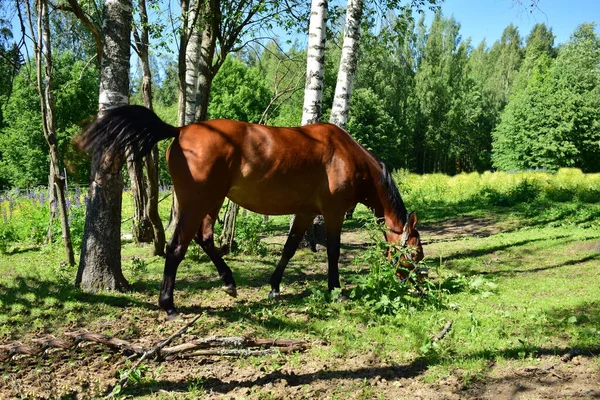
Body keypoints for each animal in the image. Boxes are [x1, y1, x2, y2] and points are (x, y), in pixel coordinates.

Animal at [79, 106, 424, 318]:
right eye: (414, 253)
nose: (419, 286)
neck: (345, 154)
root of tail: (180, 131)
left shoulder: (304, 213)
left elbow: (288, 248)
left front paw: (274, 287)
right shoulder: (333, 212)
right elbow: (333, 251)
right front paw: (336, 290)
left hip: (213, 201)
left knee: (205, 238)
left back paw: (228, 281)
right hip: (197, 201)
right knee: (177, 247)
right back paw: (169, 304)